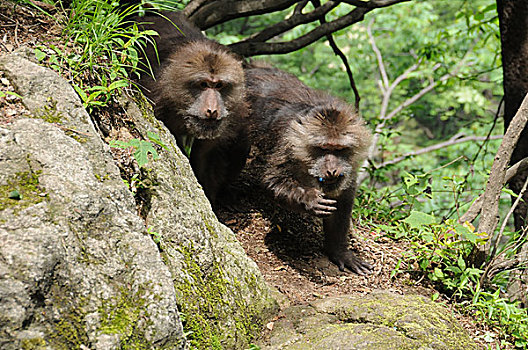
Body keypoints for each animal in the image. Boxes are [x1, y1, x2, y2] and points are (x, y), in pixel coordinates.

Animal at [245, 64, 374, 274]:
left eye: (339, 150)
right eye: (323, 148)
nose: (332, 170)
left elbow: (342, 199)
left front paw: (340, 252)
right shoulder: (286, 144)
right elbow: (272, 181)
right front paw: (308, 199)